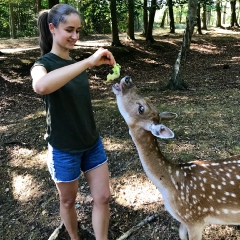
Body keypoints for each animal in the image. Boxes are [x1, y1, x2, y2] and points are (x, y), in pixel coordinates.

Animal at [112, 76, 240, 240]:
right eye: (147, 99)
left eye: (141, 108)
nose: (128, 79)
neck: (171, 185)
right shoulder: (184, 220)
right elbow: (180, 233)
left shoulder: (195, 218)